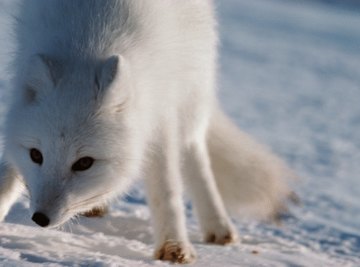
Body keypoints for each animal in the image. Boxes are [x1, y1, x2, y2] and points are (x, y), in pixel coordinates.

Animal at [0, 0, 292, 264]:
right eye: (36, 155)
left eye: (84, 163)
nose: (40, 218)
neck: (88, 44)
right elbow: (7, 174)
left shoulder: (161, 117)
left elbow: (167, 189)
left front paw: (175, 246)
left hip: (191, 97)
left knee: (196, 156)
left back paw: (218, 225)